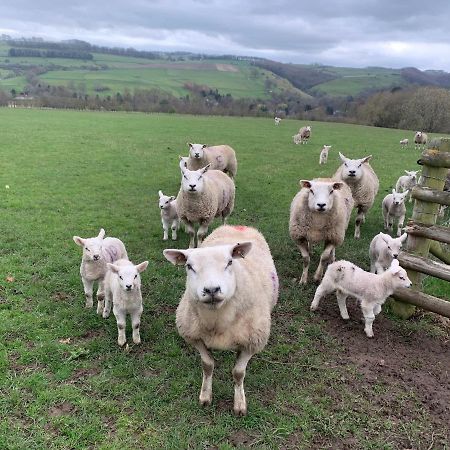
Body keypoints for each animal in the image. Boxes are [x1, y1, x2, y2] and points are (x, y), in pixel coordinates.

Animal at [163, 224, 280, 414]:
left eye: (230, 262)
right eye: (189, 266)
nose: (211, 290)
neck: (217, 321)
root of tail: (237, 226)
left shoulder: (252, 342)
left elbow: (238, 373)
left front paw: (239, 404)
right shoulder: (195, 337)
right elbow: (207, 365)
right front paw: (205, 396)